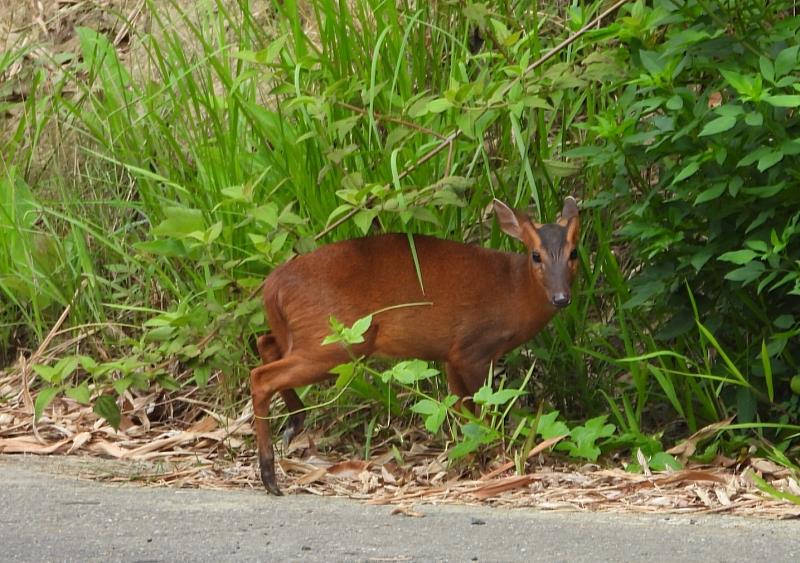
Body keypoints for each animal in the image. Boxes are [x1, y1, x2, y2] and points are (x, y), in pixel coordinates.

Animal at [250, 197, 580, 494]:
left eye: (574, 253)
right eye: (536, 255)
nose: (561, 298)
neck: (514, 290)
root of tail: (272, 286)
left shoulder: (451, 355)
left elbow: (463, 413)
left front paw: (470, 460)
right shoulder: (474, 348)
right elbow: (484, 411)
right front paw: (496, 462)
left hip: (311, 336)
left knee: (265, 343)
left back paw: (292, 427)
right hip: (336, 341)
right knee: (261, 376)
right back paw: (270, 475)